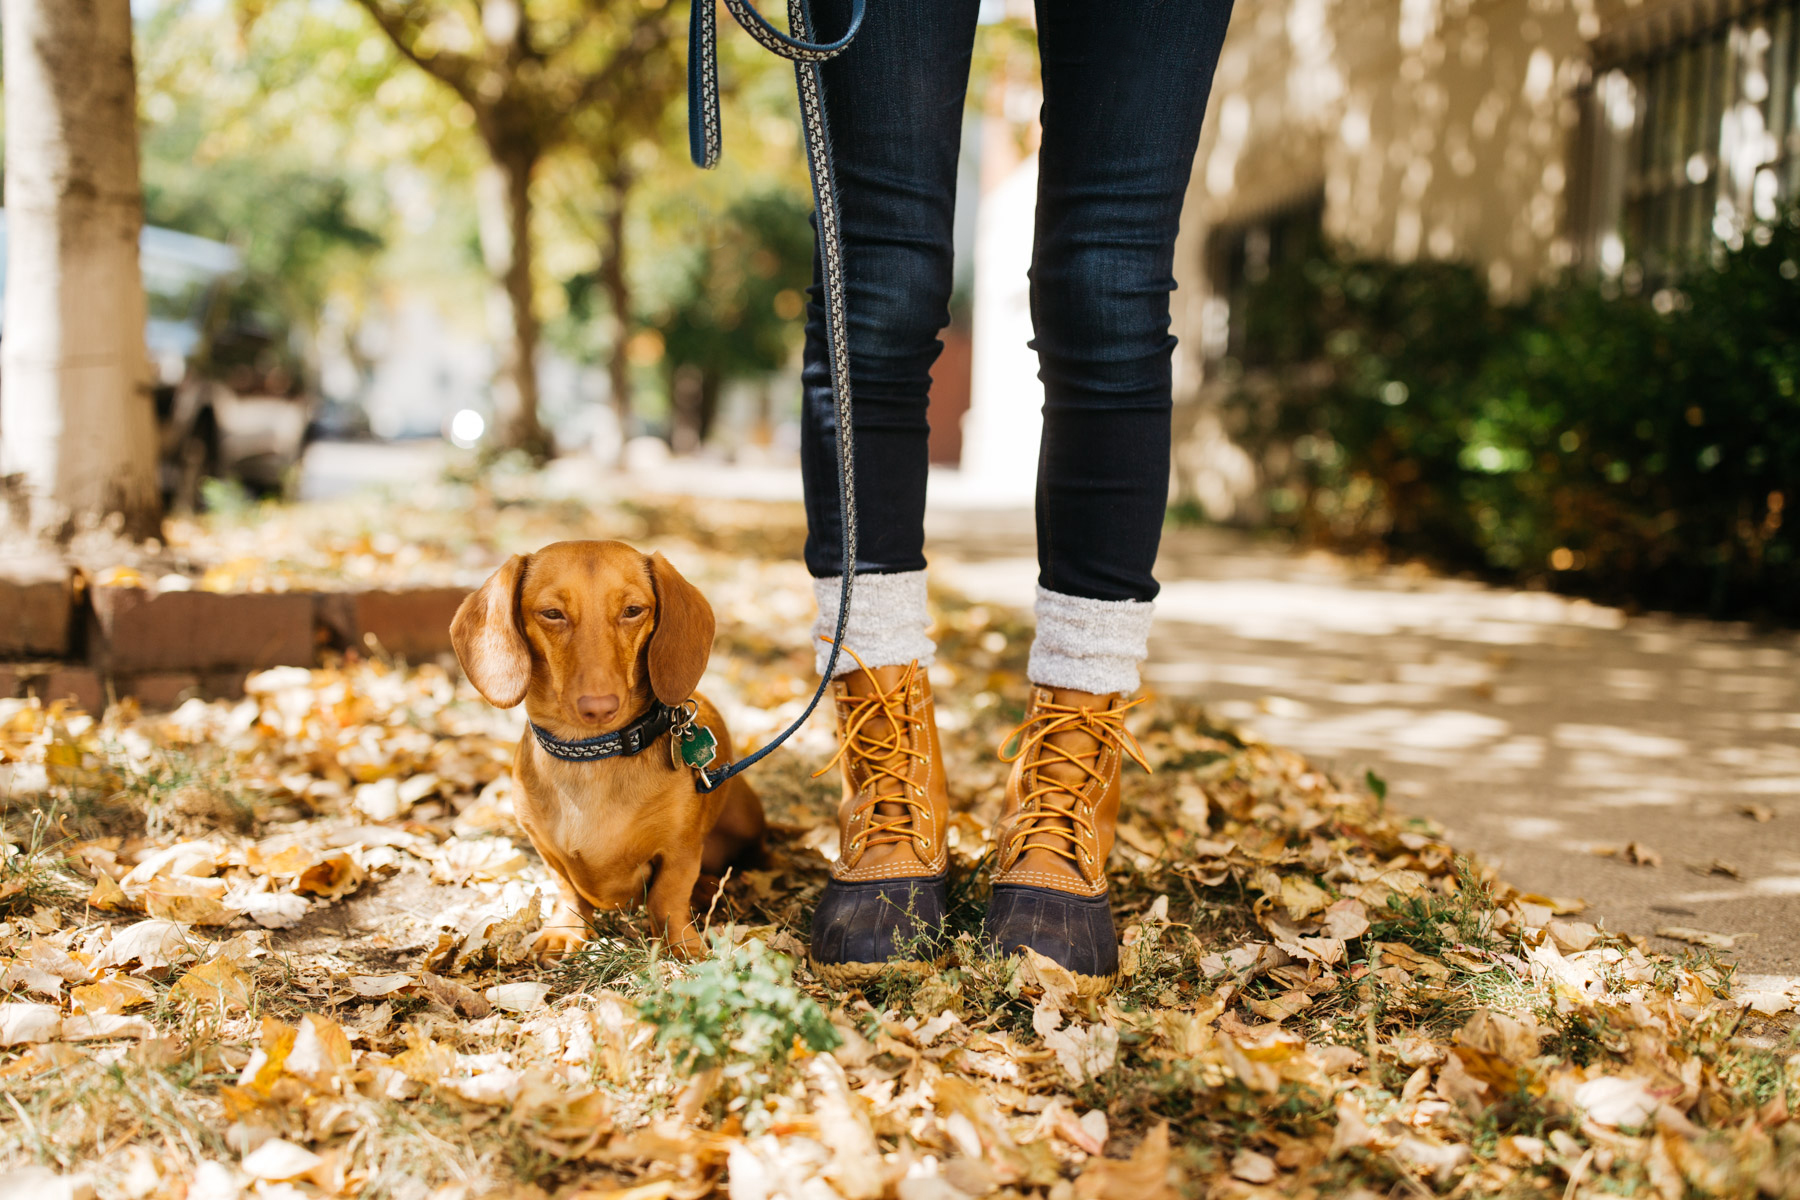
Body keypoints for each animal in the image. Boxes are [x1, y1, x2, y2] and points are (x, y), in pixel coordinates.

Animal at [453, 539, 763, 964]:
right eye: (552, 613)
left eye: (633, 610)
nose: (599, 707)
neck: (593, 755)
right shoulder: (545, 849)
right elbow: (567, 889)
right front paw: (564, 932)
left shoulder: (680, 849)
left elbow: (667, 896)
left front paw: (682, 947)